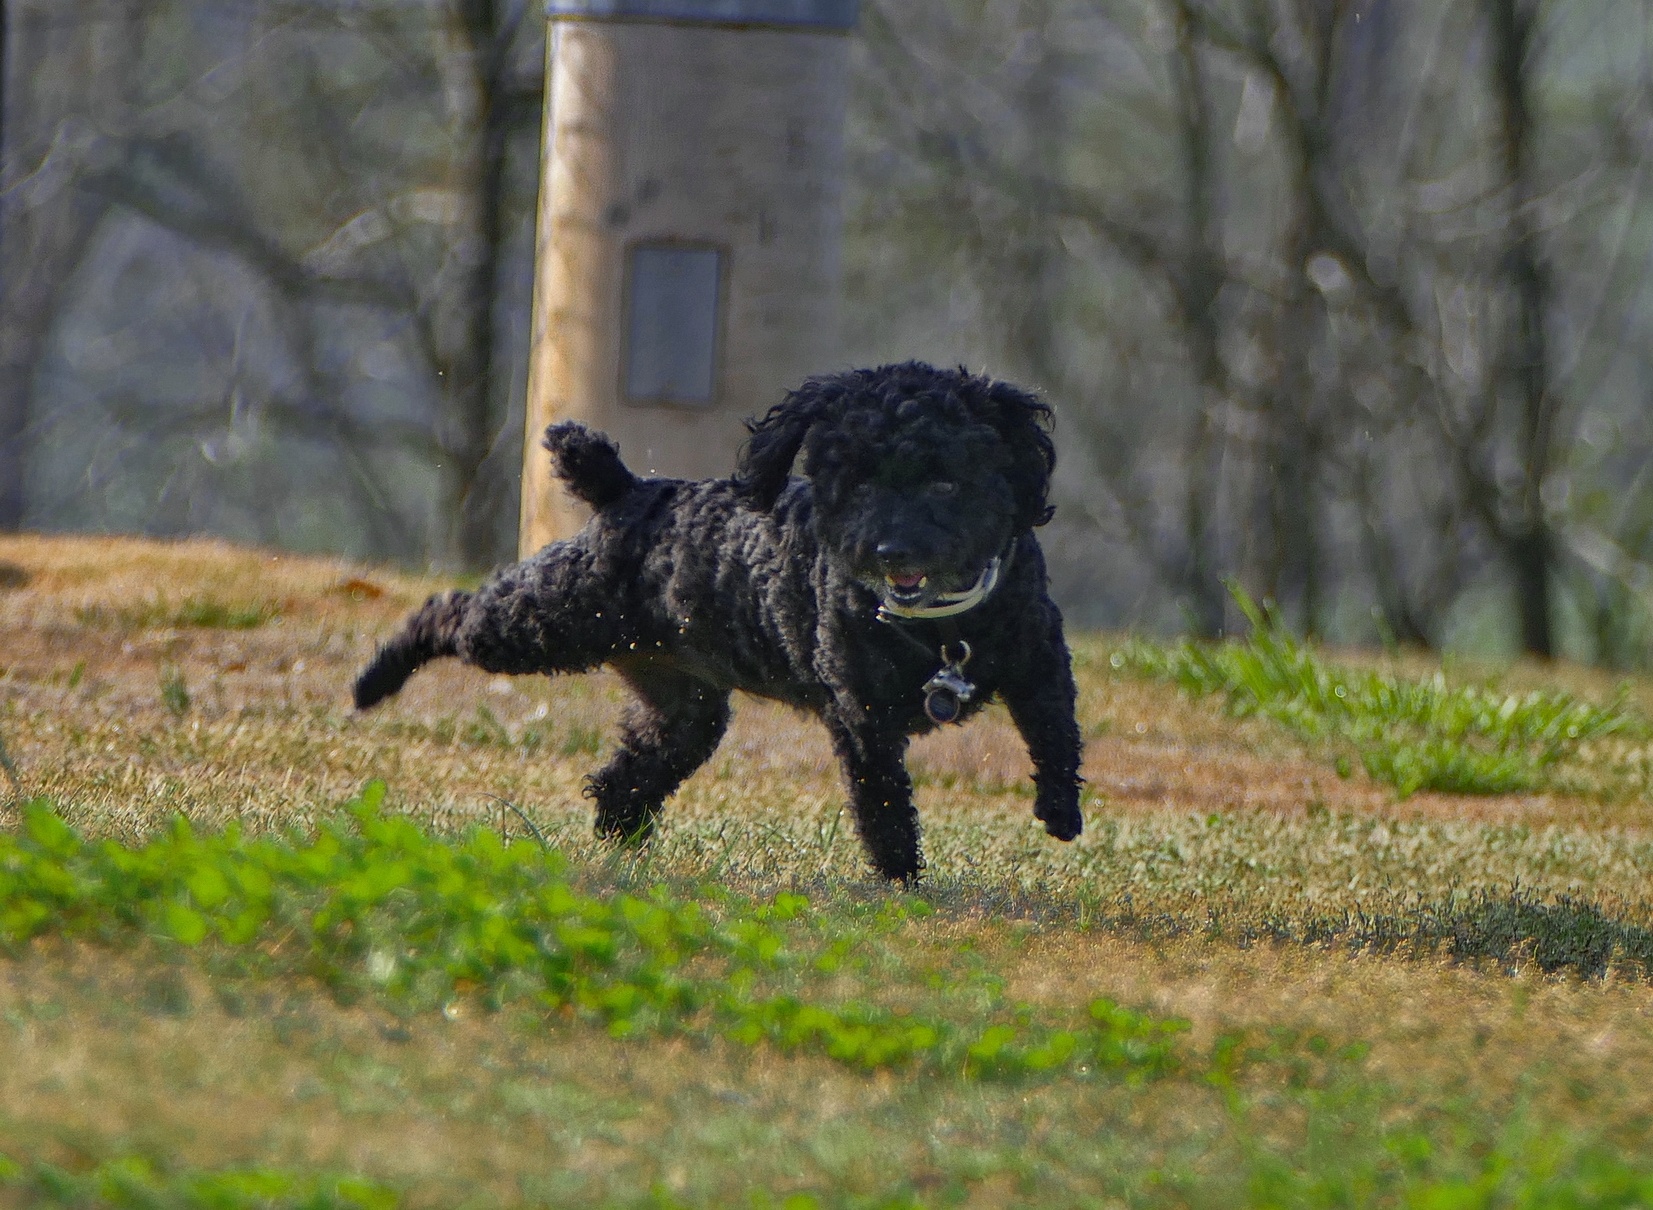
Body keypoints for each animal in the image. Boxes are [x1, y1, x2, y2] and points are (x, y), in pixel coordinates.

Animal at [353, 358, 1077, 879]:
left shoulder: (1040, 659)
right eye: (855, 481)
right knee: (448, 611)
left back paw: (621, 839)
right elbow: (881, 798)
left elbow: (1055, 734)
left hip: (683, 708)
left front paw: (1061, 812)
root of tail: (625, 491)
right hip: (545, 622)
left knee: (626, 775)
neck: (938, 626)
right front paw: (900, 874)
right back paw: (374, 681)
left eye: (945, 480)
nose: (888, 549)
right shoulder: (860, 712)